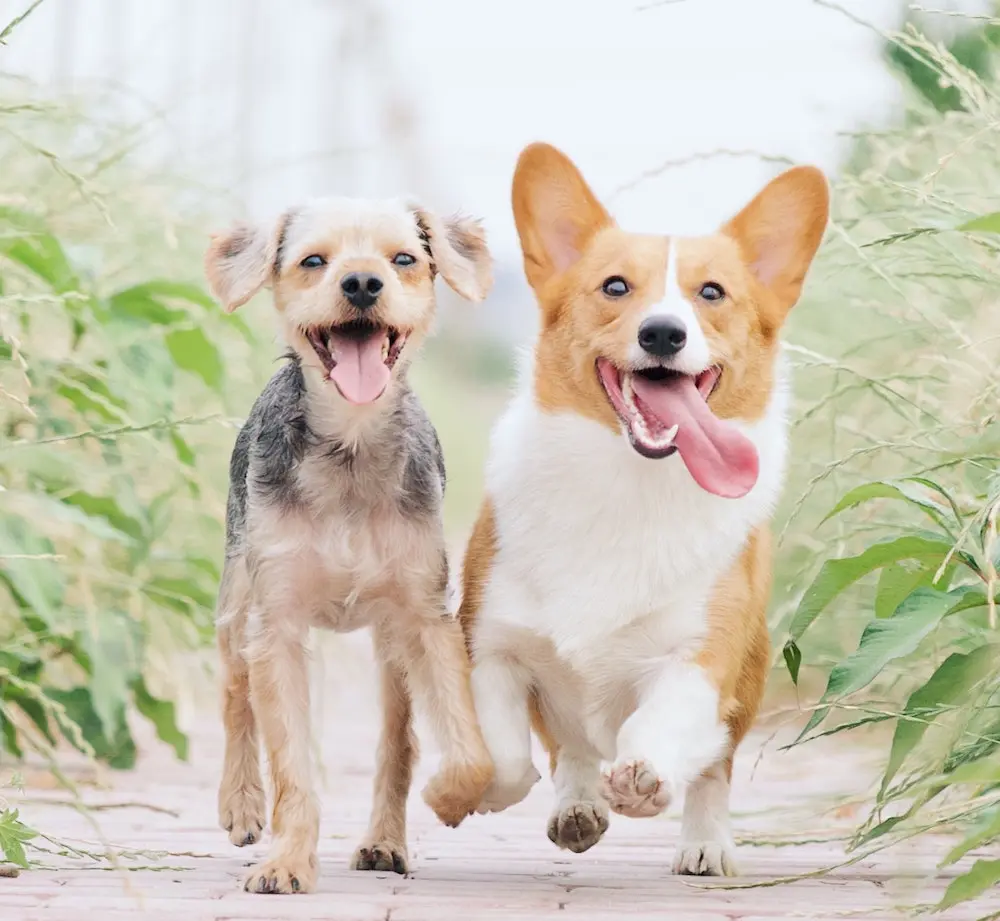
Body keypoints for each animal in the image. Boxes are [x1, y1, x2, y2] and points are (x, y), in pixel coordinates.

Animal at [206, 198, 496, 896]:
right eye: (313, 260)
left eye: (404, 259)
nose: (362, 283)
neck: (351, 447)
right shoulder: (277, 625)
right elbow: (291, 764)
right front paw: (286, 860)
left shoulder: (425, 617)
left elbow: (466, 748)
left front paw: (452, 797)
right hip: (236, 601)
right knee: (234, 694)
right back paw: (241, 804)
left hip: (390, 649)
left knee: (398, 741)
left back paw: (385, 842)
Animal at [460, 140, 828, 872]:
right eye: (614, 287)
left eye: (711, 293)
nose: (663, 333)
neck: (628, 482)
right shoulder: (491, 644)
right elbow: (509, 755)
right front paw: (493, 789)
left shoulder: (699, 659)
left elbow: (659, 727)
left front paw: (644, 780)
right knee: (570, 747)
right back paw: (577, 805)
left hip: (748, 681)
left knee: (712, 768)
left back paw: (705, 843)